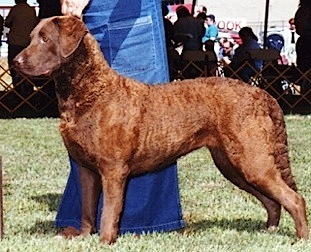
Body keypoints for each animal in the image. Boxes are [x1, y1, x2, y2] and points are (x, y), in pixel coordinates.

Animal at [13, 16, 308, 244]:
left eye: (45, 39)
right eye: (31, 37)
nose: (16, 61)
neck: (91, 91)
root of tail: (263, 95)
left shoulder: (113, 169)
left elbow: (109, 211)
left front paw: (105, 241)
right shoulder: (85, 168)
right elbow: (87, 207)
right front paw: (84, 237)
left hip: (251, 159)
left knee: (294, 198)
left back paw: (300, 239)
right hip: (232, 163)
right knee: (273, 200)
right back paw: (269, 232)